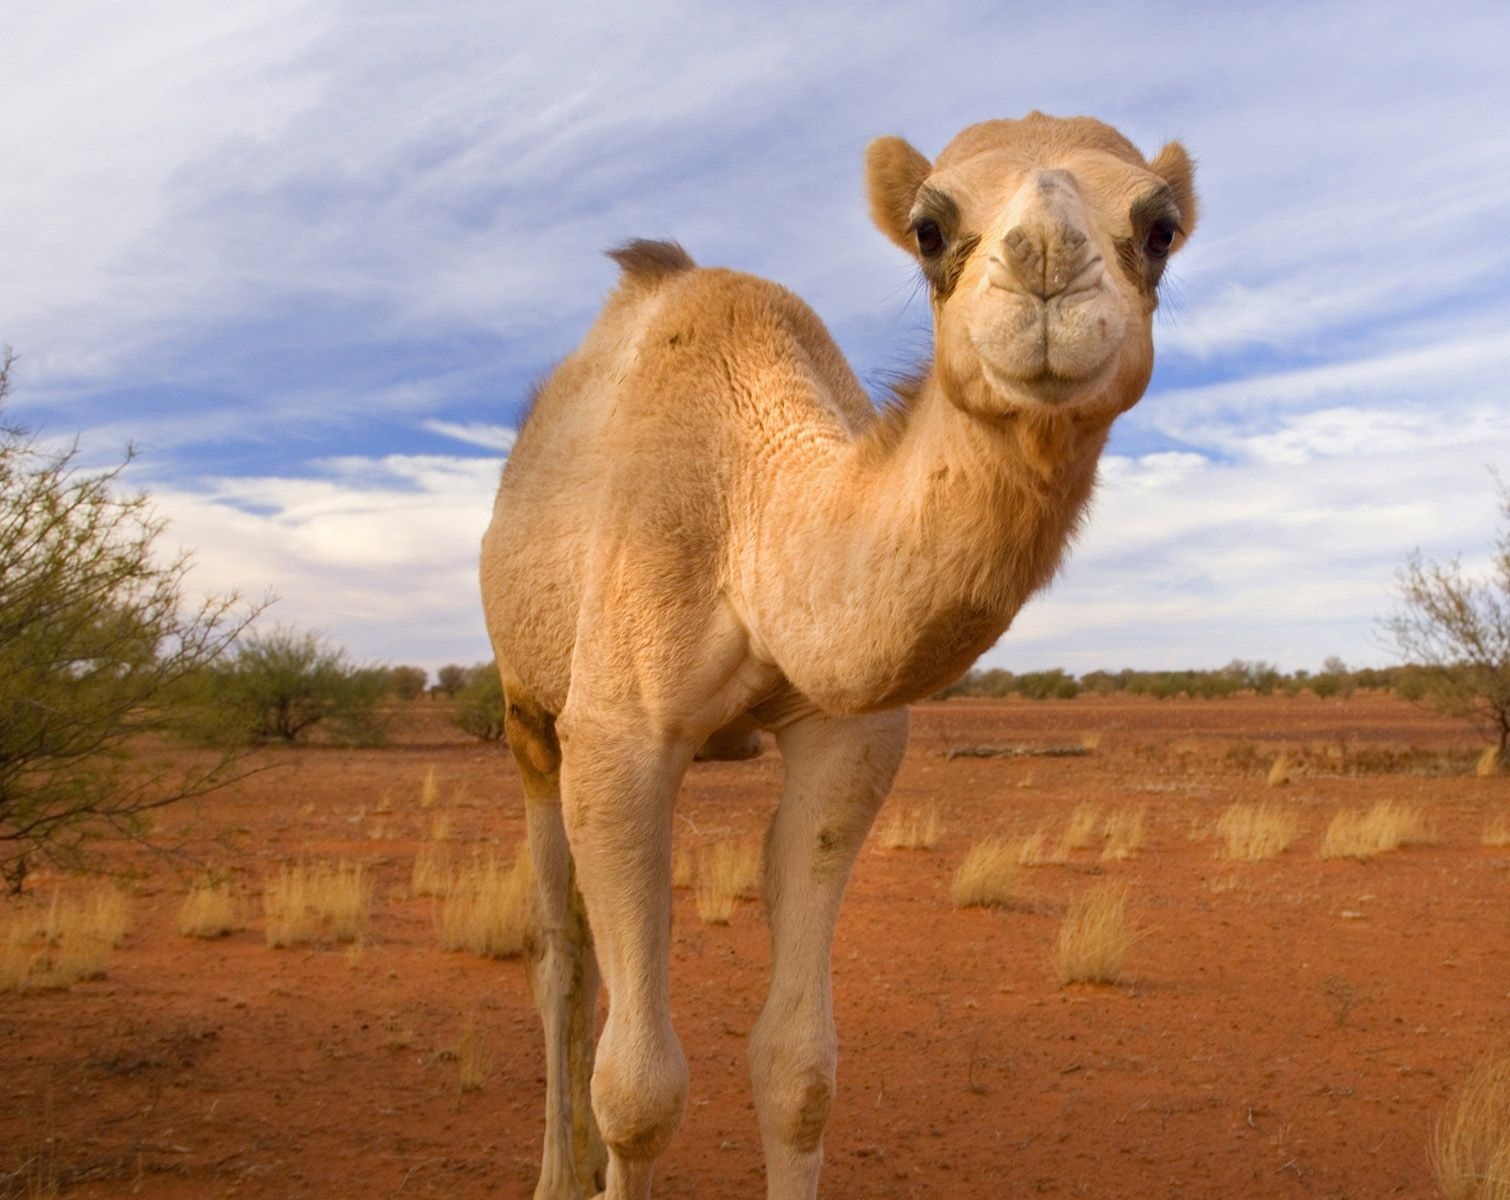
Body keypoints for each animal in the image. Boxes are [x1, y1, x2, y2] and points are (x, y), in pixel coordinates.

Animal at [480, 107, 1189, 1195]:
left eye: (1160, 227)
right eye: (930, 228)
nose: (1045, 269)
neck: (752, 515)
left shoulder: (845, 739)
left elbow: (798, 1068)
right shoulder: (616, 737)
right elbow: (639, 1091)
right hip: (527, 710)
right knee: (559, 952)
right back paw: (561, 1172)